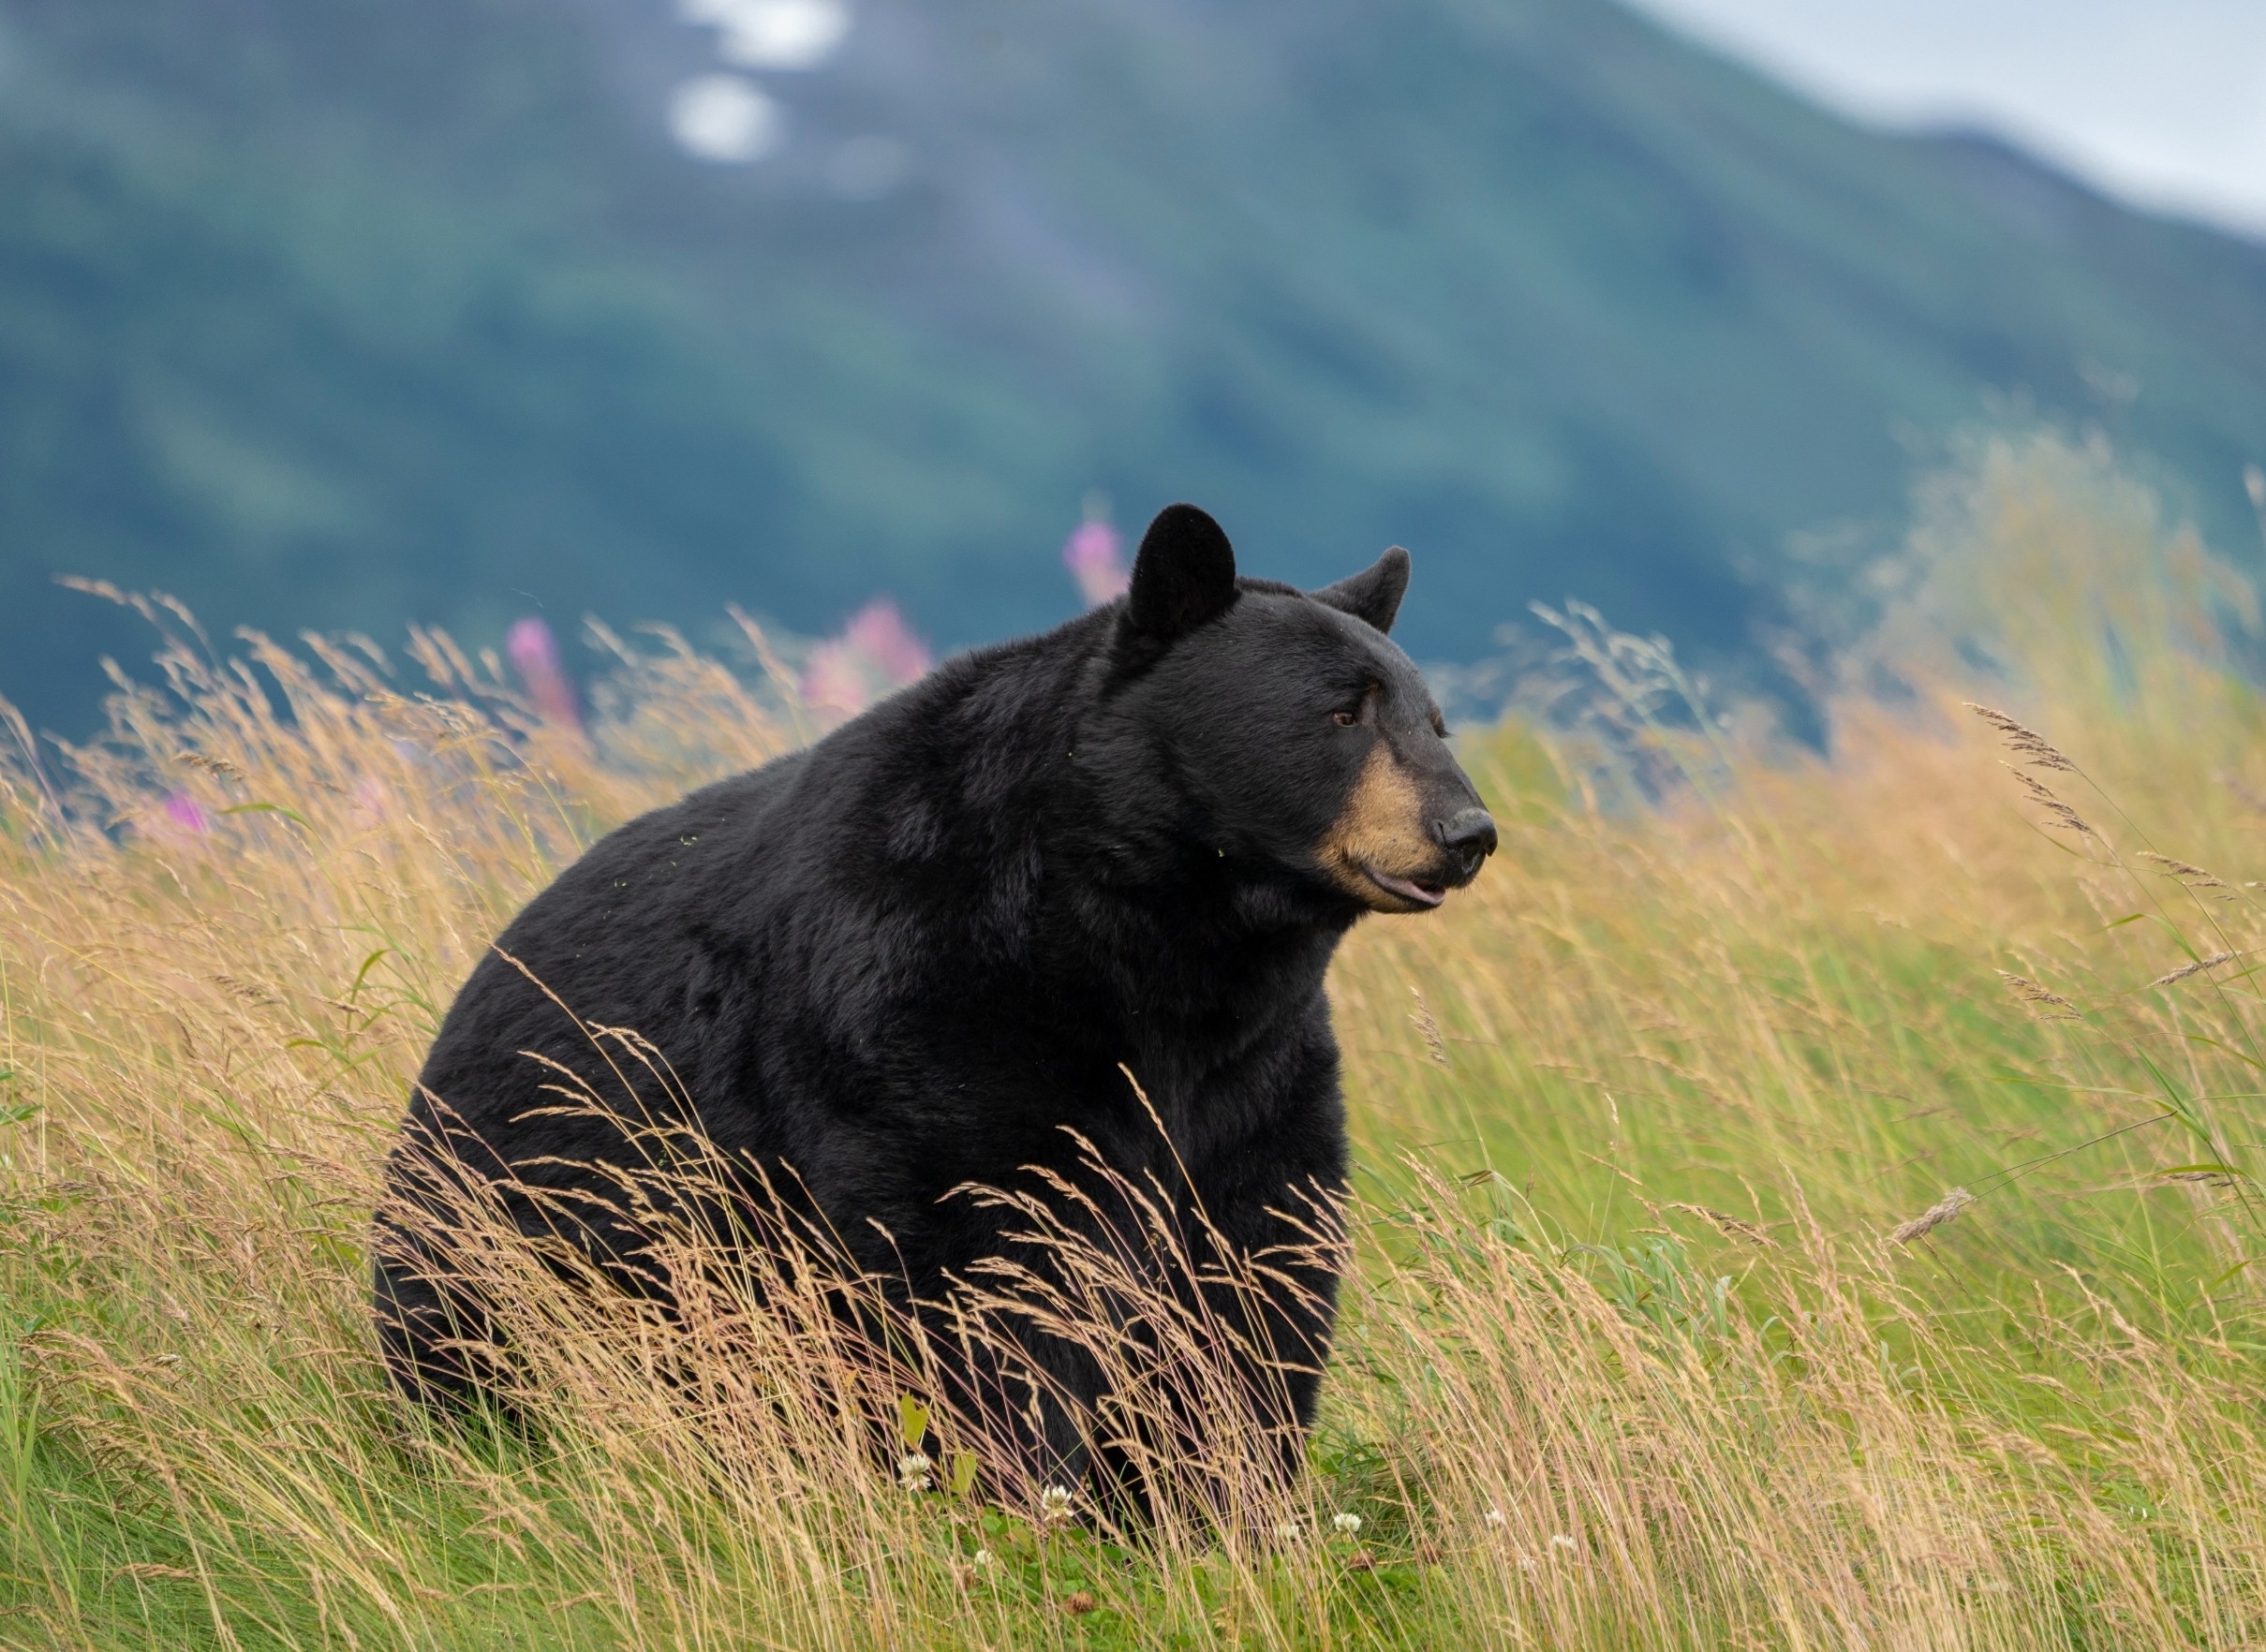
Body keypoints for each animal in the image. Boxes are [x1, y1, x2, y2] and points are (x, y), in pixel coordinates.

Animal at [373, 502, 1496, 1509]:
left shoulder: (1253, 1067)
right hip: (521, 1215)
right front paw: (1013, 1492)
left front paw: (1224, 1501)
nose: (1466, 830)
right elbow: (976, 1265)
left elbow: (1251, 1270)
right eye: (1342, 712)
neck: (1153, 940)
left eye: (1432, 719)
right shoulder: (928, 1004)